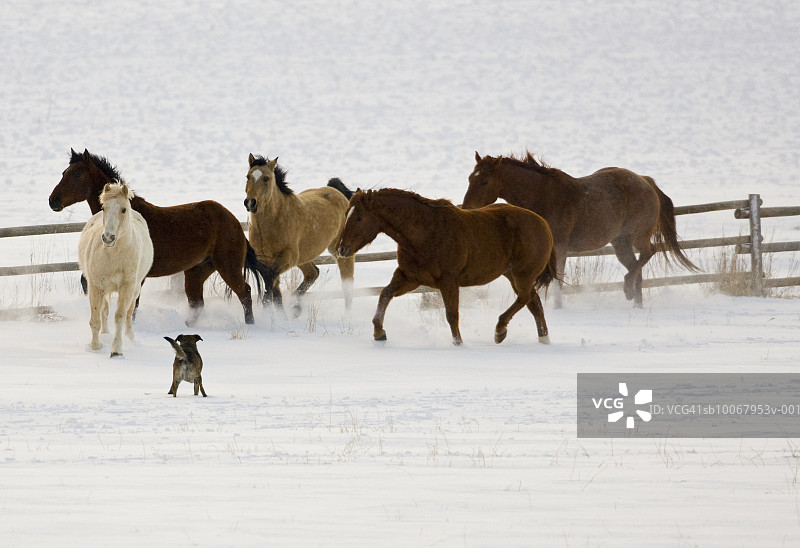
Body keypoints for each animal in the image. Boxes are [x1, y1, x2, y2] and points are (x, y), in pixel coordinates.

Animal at [50, 149, 268, 325]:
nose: (53, 200)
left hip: (227, 266)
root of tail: (233, 221)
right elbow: (88, 283)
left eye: (76, 173)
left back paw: (251, 327)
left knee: (245, 293)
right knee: (197, 303)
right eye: (63, 173)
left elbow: (132, 305)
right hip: (197, 271)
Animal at [78, 182, 154, 357]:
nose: (108, 238)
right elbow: (96, 318)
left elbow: (120, 316)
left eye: (123, 209)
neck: (113, 255)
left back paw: (130, 338)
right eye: (104, 207)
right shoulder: (95, 286)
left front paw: (116, 350)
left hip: (135, 289)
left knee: (129, 314)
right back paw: (105, 335)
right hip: (104, 289)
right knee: (104, 310)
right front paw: (95, 346)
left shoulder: (127, 287)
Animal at [244, 154, 355, 316]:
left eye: (266, 178)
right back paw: (296, 308)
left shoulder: (287, 258)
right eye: (248, 177)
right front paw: (281, 316)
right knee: (313, 273)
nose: (251, 203)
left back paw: (347, 316)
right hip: (304, 256)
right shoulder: (266, 259)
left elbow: (270, 279)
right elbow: (276, 292)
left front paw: (267, 306)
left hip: (339, 251)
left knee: (347, 285)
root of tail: (337, 192)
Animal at [337, 188, 557, 346]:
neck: (425, 233)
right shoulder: (409, 277)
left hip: (522, 274)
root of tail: (543, 224)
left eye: (359, 217)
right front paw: (379, 333)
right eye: (346, 213)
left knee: (525, 298)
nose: (342, 249)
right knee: (533, 302)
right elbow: (385, 294)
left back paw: (500, 331)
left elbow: (452, 315)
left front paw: (458, 343)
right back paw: (543, 339)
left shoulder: (448, 280)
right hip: (513, 275)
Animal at [462, 151, 699, 308]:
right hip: (620, 242)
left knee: (648, 253)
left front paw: (557, 308)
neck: (542, 196)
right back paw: (634, 302)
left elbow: (557, 280)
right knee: (636, 268)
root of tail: (646, 181)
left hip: (638, 235)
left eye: (484, 181)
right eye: (470, 178)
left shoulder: (559, 248)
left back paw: (627, 289)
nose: (466, 208)